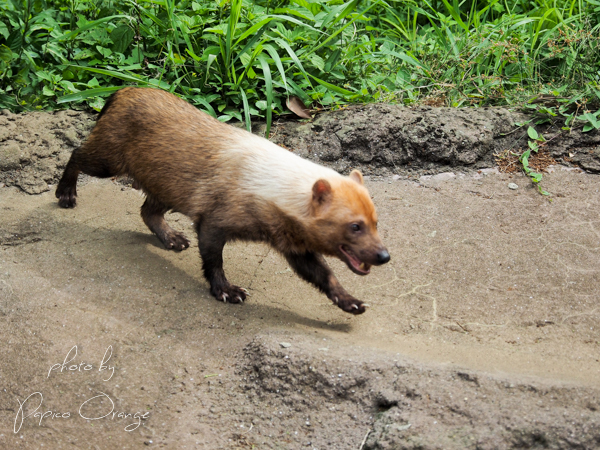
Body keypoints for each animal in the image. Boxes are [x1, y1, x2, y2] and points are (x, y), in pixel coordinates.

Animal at [57, 87, 390, 312]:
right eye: (355, 225)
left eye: (376, 221)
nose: (384, 256)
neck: (264, 183)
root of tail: (122, 90)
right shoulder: (213, 223)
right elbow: (213, 262)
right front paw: (227, 291)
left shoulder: (295, 248)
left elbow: (325, 276)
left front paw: (351, 302)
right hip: (107, 162)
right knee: (76, 153)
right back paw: (66, 194)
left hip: (164, 187)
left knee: (147, 211)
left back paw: (172, 239)